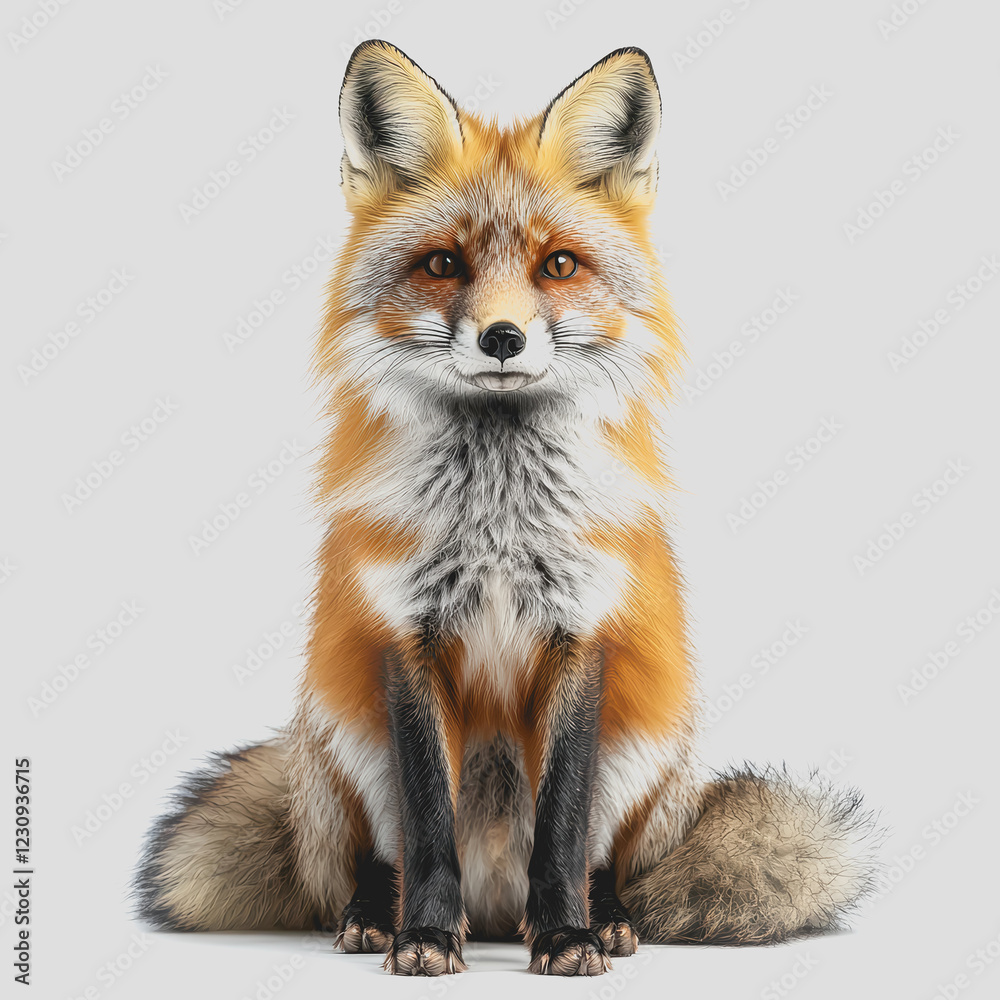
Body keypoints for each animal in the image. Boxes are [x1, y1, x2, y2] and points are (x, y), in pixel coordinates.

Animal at [135, 42, 881, 977]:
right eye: (442, 264)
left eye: (557, 265)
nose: (501, 338)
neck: (496, 522)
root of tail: (494, 909)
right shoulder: (405, 637)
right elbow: (426, 823)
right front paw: (422, 934)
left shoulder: (582, 634)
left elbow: (562, 826)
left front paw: (566, 934)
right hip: (341, 735)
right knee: (379, 853)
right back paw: (375, 916)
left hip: (648, 746)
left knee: (602, 858)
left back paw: (606, 918)